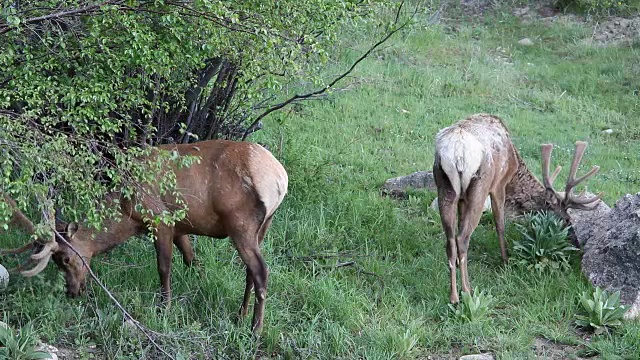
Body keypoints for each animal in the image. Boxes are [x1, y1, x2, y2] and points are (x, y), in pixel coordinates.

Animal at [0, 139, 288, 334]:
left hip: (240, 223)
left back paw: (255, 329)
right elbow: (192, 260)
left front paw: (164, 308)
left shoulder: (159, 219)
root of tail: (280, 179)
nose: (72, 291)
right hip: (264, 225)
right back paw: (240, 316)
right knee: (250, 272)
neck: (127, 211)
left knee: (261, 270)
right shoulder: (181, 226)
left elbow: (164, 267)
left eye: (66, 259)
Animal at [432, 113, 604, 304]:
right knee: (462, 238)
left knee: (451, 240)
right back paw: (467, 291)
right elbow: (500, 224)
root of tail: (457, 153)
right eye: (566, 219)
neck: (515, 164)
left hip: (444, 185)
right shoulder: (499, 184)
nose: (576, 243)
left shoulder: (463, 198)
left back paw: (454, 296)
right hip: (480, 185)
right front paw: (506, 260)